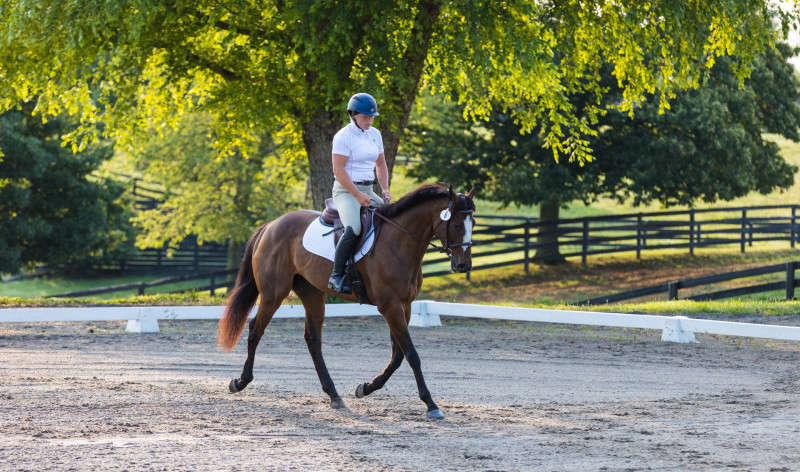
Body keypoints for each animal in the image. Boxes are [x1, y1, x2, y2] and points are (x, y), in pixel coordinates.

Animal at [216, 183, 476, 420]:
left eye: (473, 223)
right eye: (455, 224)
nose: (462, 265)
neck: (399, 241)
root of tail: (270, 225)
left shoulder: (404, 305)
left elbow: (397, 356)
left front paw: (365, 388)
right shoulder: (390, 306)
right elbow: (411, 354)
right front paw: (431, 404)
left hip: (312, 293)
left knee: (313, 339)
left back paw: (334, 395)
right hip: (273, 293)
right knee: (255, 330)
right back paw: (240, 382)